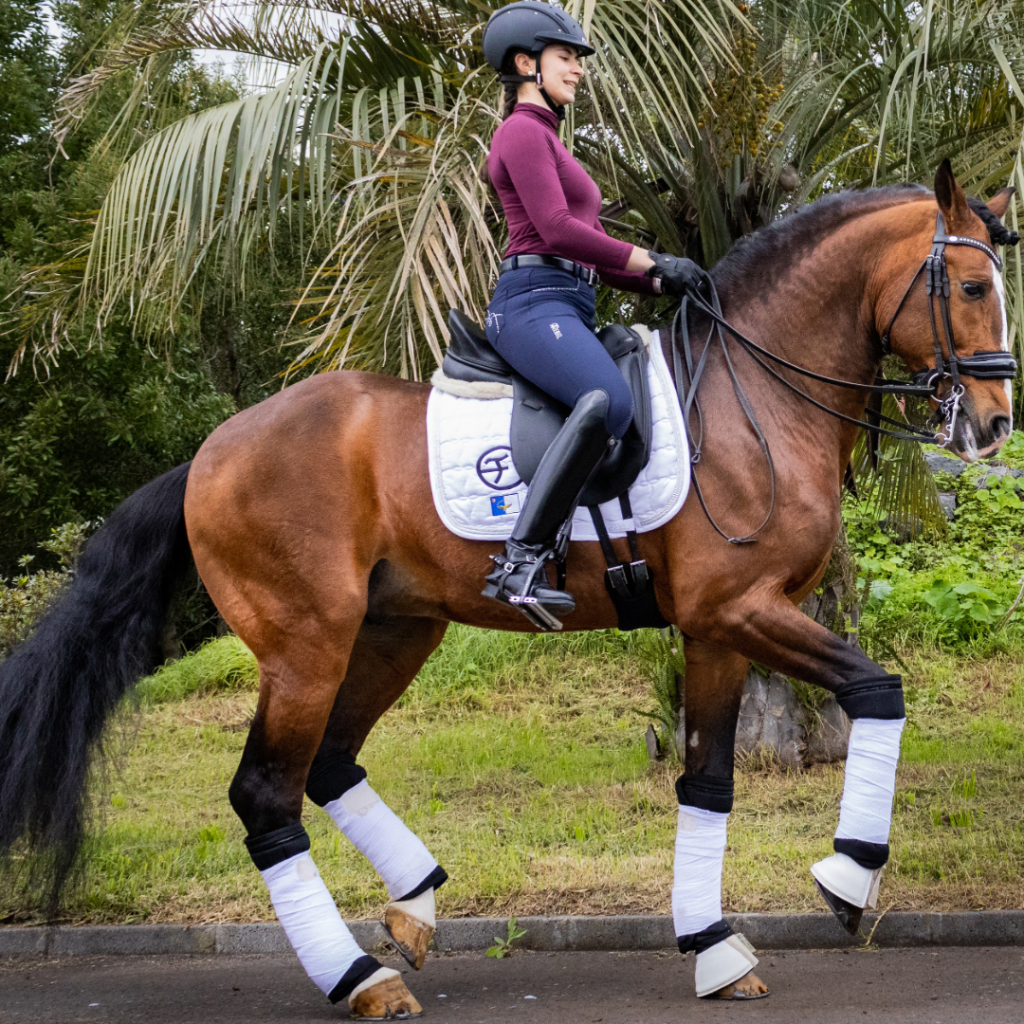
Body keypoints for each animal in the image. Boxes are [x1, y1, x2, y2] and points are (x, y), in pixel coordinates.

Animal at [0, 162, 1016, 1015]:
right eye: (973, 288)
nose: (995, 424)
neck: (751, 396)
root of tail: (210, 454)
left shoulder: (719, 629)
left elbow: (708, 783)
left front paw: (717, 949)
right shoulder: (739, 609)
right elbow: (879, 690)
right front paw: (849, 879)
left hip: (392, 631)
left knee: (329, 765)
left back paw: (413, 910)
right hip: (304, 644)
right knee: (267, 798)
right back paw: (361, 978)